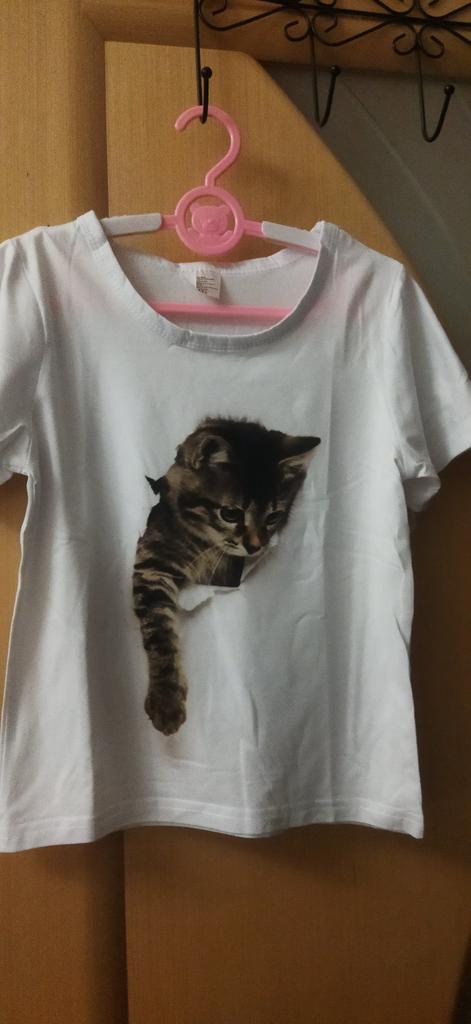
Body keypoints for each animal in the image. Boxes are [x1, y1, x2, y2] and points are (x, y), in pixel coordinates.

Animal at [133, 416, 321, 736]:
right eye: (231, 514)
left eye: (273, 517)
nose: (256, 546)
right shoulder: (152, 563)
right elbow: (159, 632)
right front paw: (166, 699)